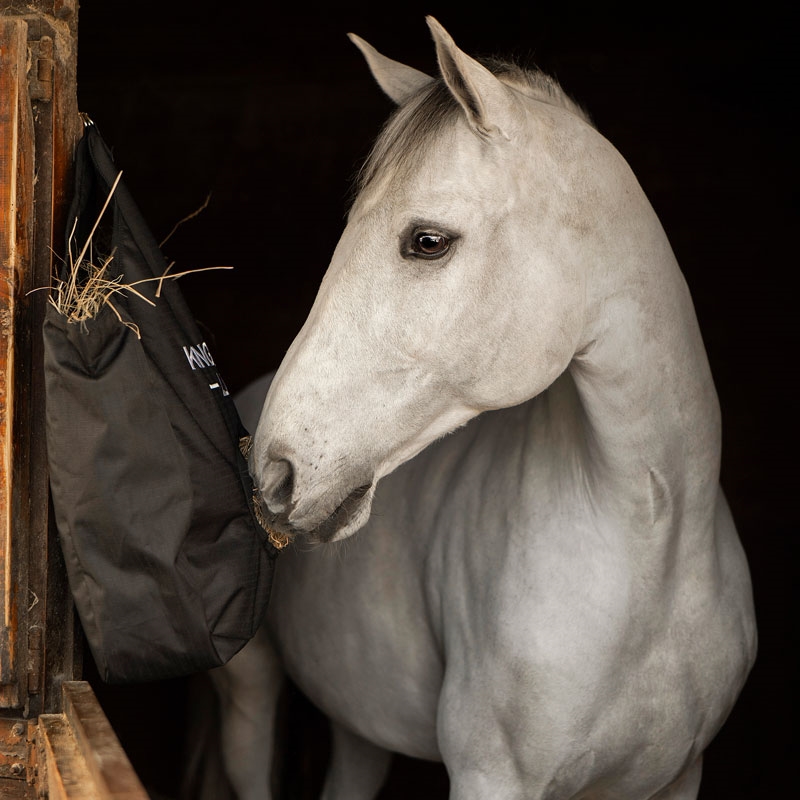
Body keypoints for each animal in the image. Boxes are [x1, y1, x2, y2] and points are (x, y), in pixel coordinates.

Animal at [211, 18, 752, 800]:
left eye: (427, 241)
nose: (274, 472)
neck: (659, 547)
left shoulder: (679, 775)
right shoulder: (492, 777)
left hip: (359, 726)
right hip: (251, 698)